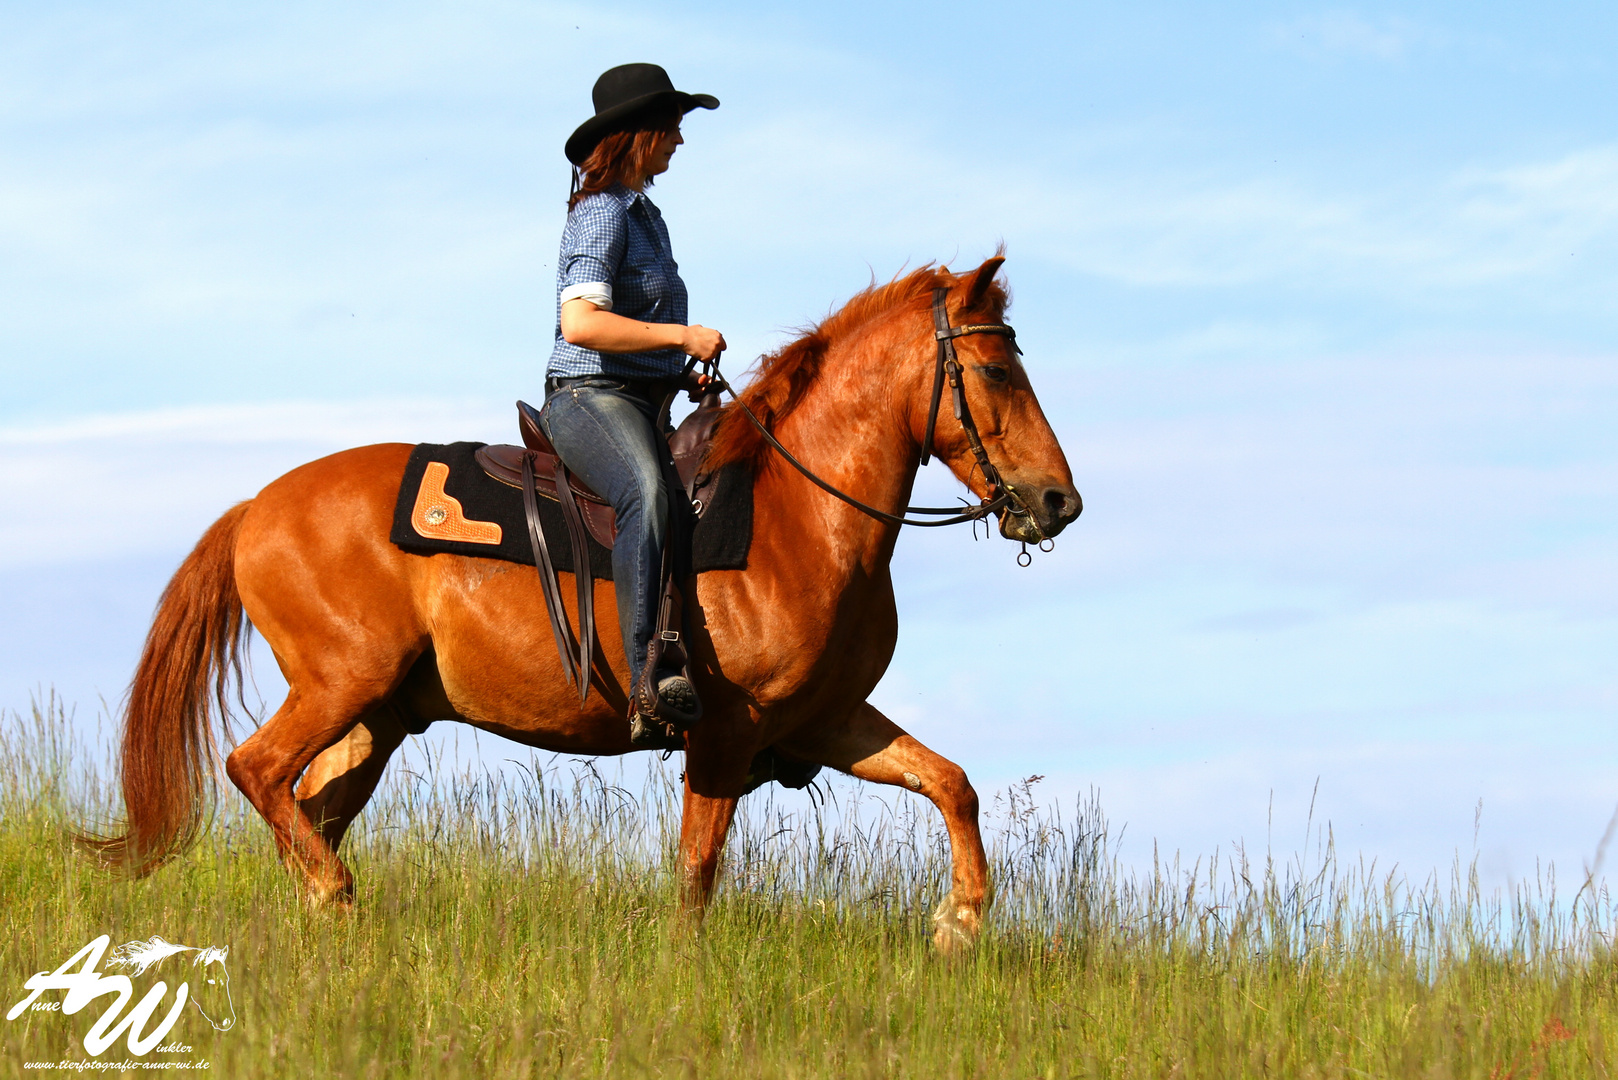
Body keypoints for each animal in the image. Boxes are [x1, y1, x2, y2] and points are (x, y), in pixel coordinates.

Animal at [85, 257, 1074, 952]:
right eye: (995, 370)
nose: (1059, 501)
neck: (798, 517)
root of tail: (256, 507)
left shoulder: (826, 720)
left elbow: (951, 783)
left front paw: (960, 923)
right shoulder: (724, 734)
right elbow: (697, 870)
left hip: (378, 715)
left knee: (311, 808)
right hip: (340, 684)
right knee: (254, 769)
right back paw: (335, 897)